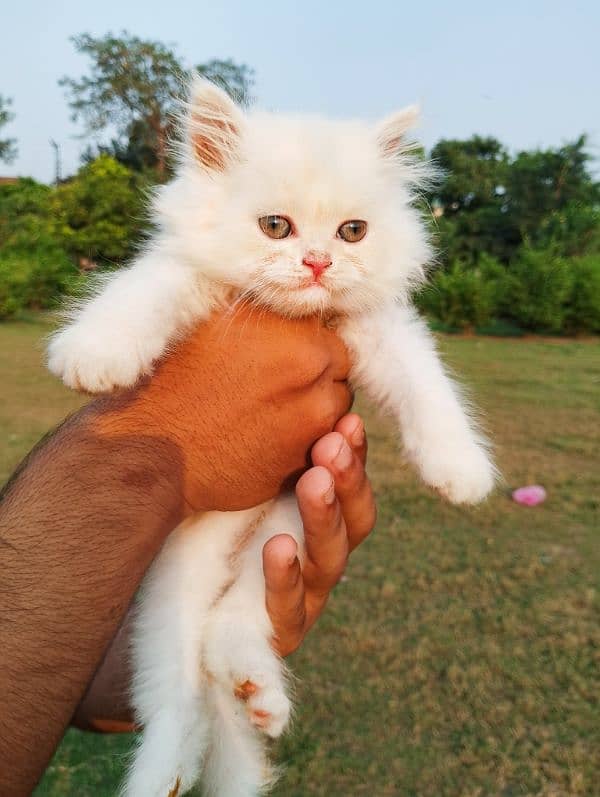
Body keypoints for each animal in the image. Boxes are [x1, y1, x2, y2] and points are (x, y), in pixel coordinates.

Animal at [48, 76, 496, 796]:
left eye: (352, 232)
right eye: (275, 227)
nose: (317, 262)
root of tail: (226, 545)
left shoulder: (380, 328)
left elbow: (425, 380)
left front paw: (460, 468)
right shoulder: (189, 274)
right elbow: (150, 285)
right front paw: (96, 350)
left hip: (289, 523)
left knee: (226, 635)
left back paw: (257, 690)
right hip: (170, 597)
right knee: (179, 700)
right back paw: (164, 774)